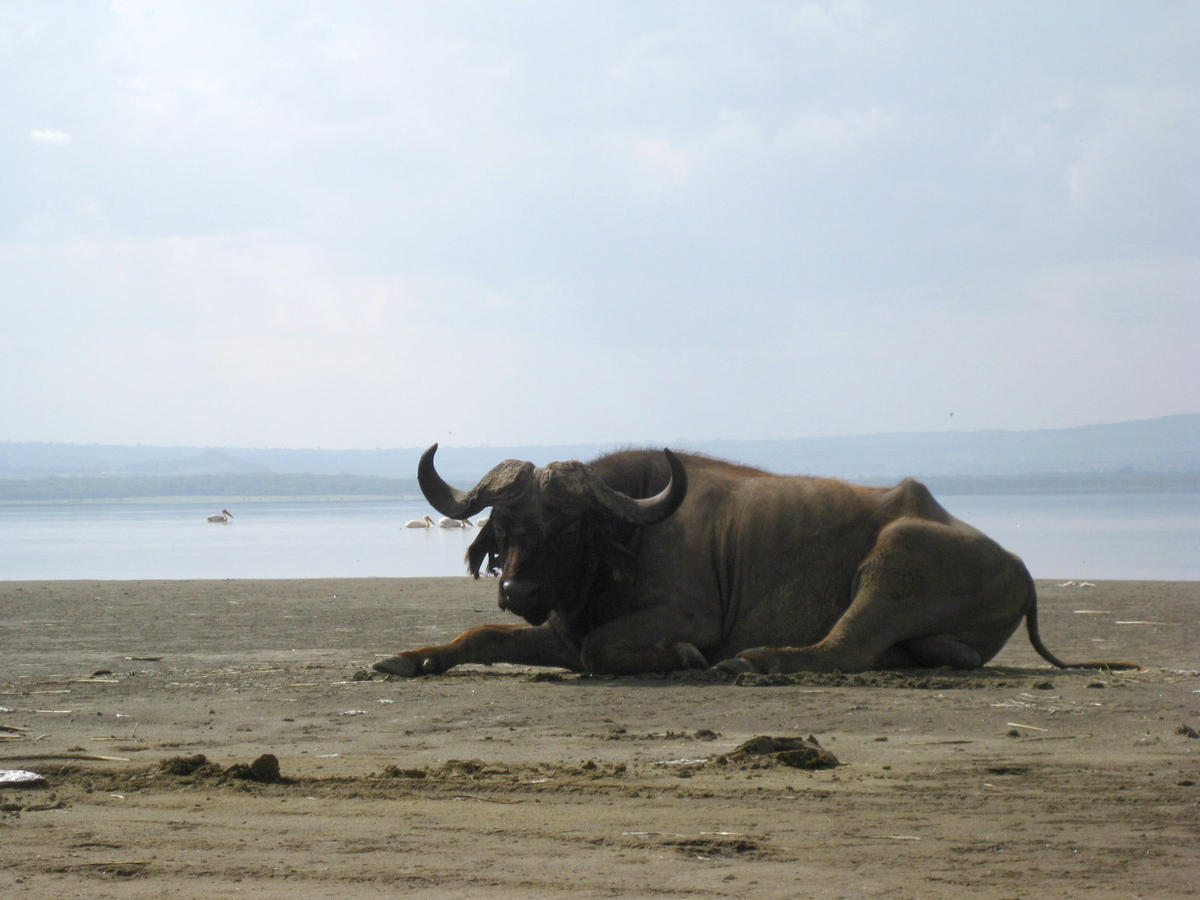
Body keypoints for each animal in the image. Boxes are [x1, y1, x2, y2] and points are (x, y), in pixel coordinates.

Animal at [374, 445, 1132, 677]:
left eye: (569, 529)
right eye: (505, 524)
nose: (519, 587)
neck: (629, 540)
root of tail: (1021, 569)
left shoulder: (687, 617)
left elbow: (601, 649)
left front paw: (681, 658)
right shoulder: (554, 629)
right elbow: (482, 635)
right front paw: (408, 658)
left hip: (893, 560)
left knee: (840, 649)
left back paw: (755, 662)